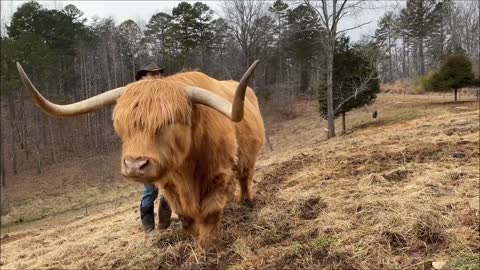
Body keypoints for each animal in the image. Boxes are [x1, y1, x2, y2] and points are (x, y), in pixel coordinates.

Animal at [15, 60, 266, 247]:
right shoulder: (171, 186)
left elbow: (210, 213)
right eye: (121, 124)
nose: (135, 165)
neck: (186, 171)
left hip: (247, 158)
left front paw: (208, 247)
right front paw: (189, 240)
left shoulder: (219, 174)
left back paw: (246, 203)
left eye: (170, 122)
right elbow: (184, 215)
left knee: (245, 178)